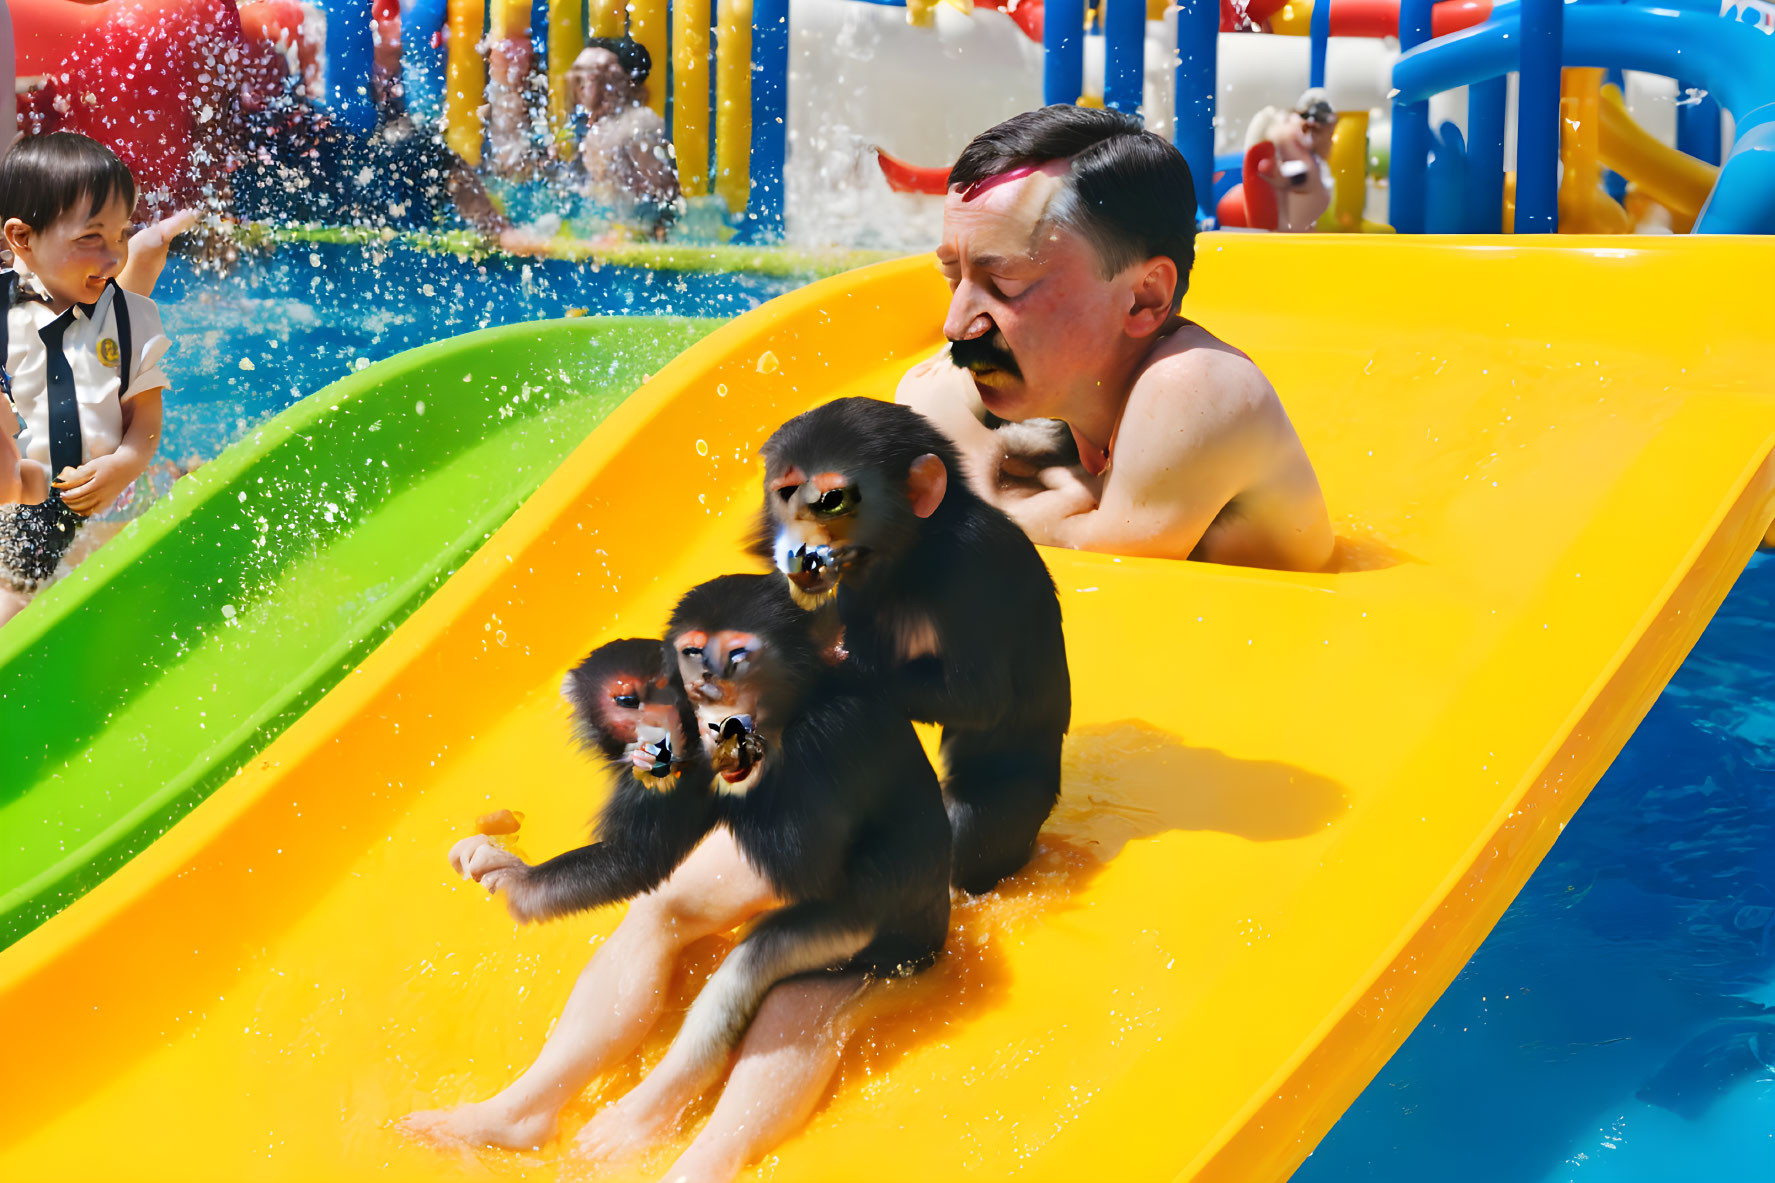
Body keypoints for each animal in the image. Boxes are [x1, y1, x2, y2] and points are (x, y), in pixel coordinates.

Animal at [749, 390, 1065, 888]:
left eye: (830, 501)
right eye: (785, 493)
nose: (797, 546)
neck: (913, 554)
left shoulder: (974, 564)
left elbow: (977, 696)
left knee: (975, 825)